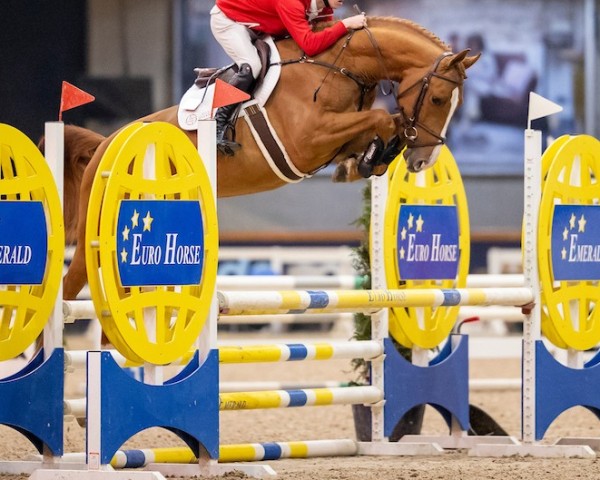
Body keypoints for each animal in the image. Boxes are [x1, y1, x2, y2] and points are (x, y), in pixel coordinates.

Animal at [57, 17, 478, 300]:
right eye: (438, 98)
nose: (423, 161)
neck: (343, 66)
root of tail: (105, 145)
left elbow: (382, 125)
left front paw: (365, 161)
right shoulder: (307, 140)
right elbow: (382, 119)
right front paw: (377, 153)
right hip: (98, 235)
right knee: (69, 286)